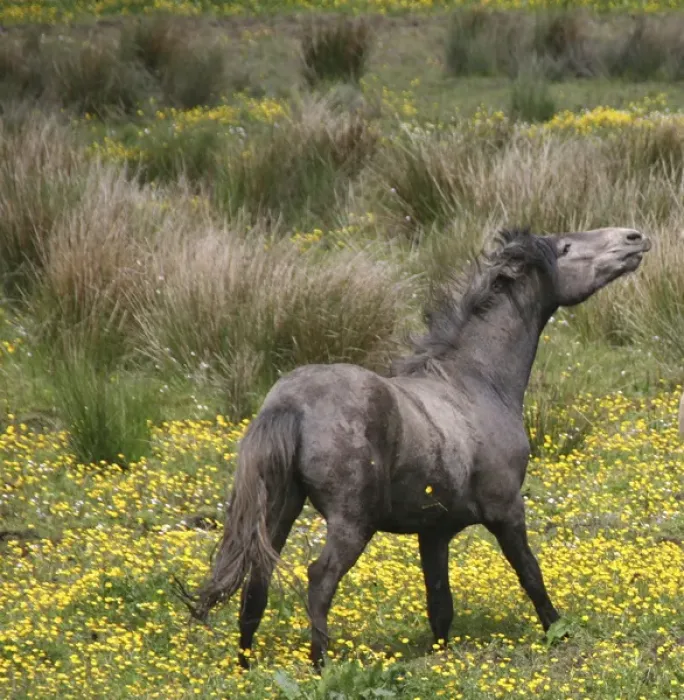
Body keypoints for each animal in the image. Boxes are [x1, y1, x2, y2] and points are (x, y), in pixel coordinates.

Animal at [177, 226, 651, 669]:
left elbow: (440, 605)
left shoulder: (434, 532)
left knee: (257, 579)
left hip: (280, 507)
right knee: (319, 580)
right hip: (351, 521)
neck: (476, 383)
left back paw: (245, 666)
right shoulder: (506, 511)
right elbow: (531, 576)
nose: (635, 238)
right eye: (566, 247)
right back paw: (321, 665)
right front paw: (561, 635)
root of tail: (288, 404)